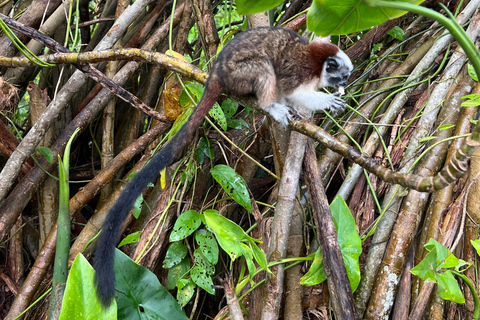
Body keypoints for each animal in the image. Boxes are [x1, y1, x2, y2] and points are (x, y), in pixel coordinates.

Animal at [93, 26, 352, 306]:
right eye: (342, 75)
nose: (346, 83)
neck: (318, 63)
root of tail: (216, 72)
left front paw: (297, 109)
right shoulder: (300, 70)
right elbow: (291, 88)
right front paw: (325, 102)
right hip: (239, 74)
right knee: (264, 67)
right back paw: (269, 104)